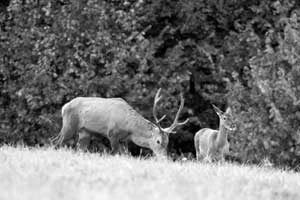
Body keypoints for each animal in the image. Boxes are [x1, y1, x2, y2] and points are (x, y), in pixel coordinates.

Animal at [51, 89, 188, 158]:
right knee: (56, 141)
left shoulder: (124, 140)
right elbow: (115, 153)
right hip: (69, 125)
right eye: (158, 141)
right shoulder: (112, 134)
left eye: (168, 142)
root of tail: (64, 107)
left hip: (85, 132)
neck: (130, 128)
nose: (164, 158)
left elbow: (126, 155)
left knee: (79, 148)